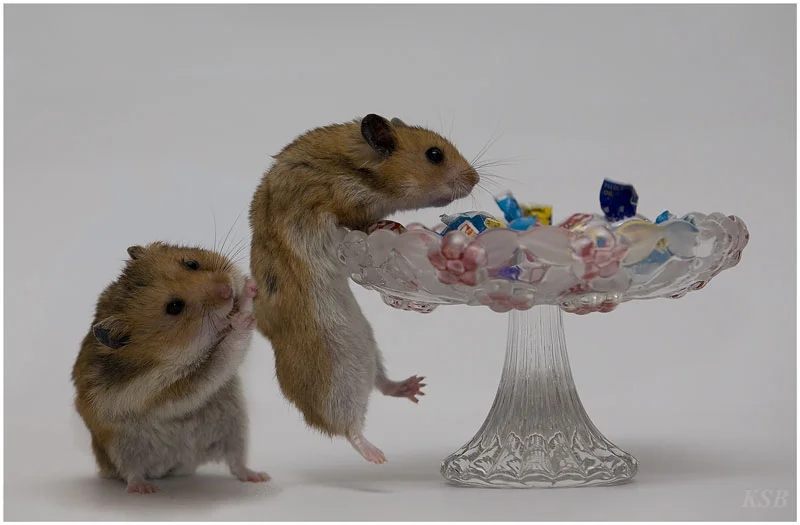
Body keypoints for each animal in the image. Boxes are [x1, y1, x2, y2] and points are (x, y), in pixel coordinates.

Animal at [71, 242, 269, 494]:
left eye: (191, 263)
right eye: (174, 307)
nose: (227, 289)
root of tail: (175, 467)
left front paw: (249, 285)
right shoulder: (175, 388)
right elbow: (223, 354)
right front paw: (241, 321)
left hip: (234, 427)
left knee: (236, 462)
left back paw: (259, 477)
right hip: (120, 448)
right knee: (131, 472)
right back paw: (144, 489)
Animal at [249, 114, 479, 463]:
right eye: (434, 155)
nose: (476, 179)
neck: (362, 172)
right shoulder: (335, 211)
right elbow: (360, 226)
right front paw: (391, 227)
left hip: (370, 347)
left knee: (381, 384)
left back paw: (414, 387)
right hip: (340, 380)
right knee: (348, 428)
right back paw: (376, 455)